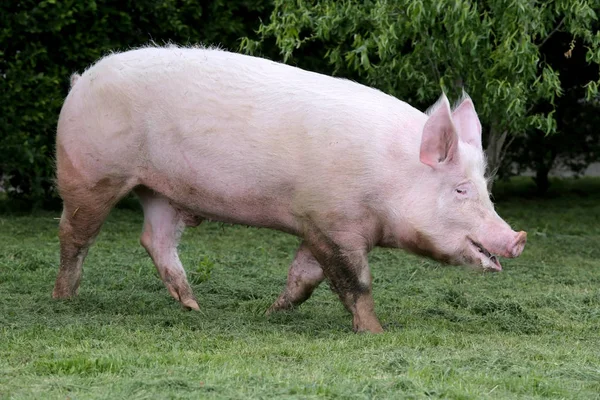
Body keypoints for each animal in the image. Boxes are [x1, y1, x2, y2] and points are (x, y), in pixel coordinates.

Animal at [52, 46, 524, 332]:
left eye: (485, 187)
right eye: (461, 190)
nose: (517, 238)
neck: (388, 179)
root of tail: (79, 81)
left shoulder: (315, 222)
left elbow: (305, 277)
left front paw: (269, 313)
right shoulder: (334, 222)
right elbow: (355, 282)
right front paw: (376, 331)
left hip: (160, 191)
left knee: (156, 239)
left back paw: (193, 308)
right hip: (89, 173)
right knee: (74, 234)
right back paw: (65, 299)